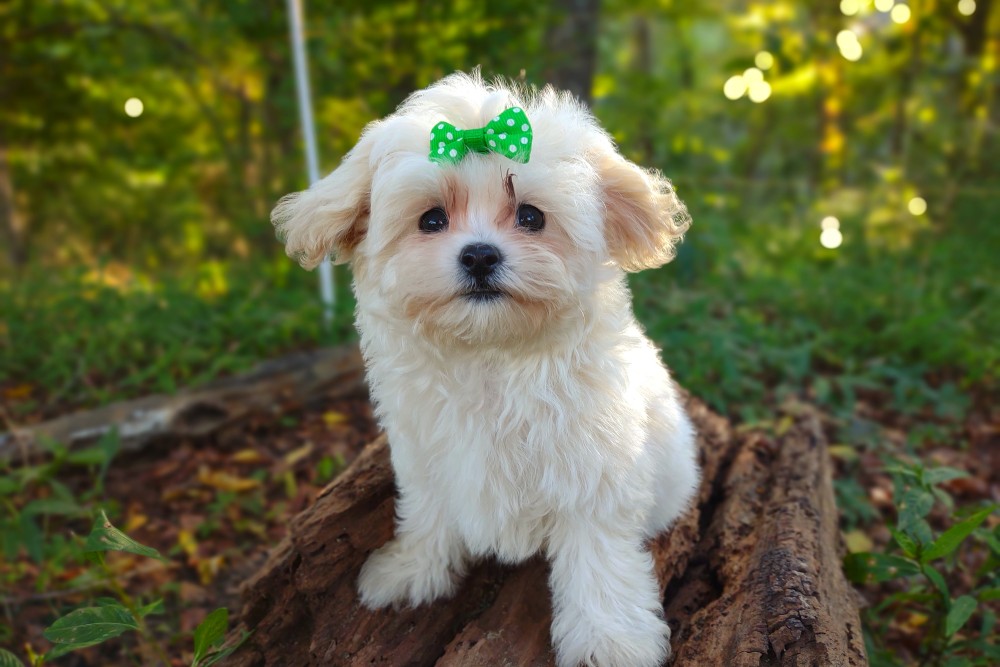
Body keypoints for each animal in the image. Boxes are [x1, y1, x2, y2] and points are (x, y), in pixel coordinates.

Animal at [273, 72, 699, 667]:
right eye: (431, 219)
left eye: (531, 216)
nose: (478, 255)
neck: (490, 355)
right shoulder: (426, 453)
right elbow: (428, 513)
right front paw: (412, 571)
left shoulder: (594, 469)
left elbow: (598, 557)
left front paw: (608, 639)